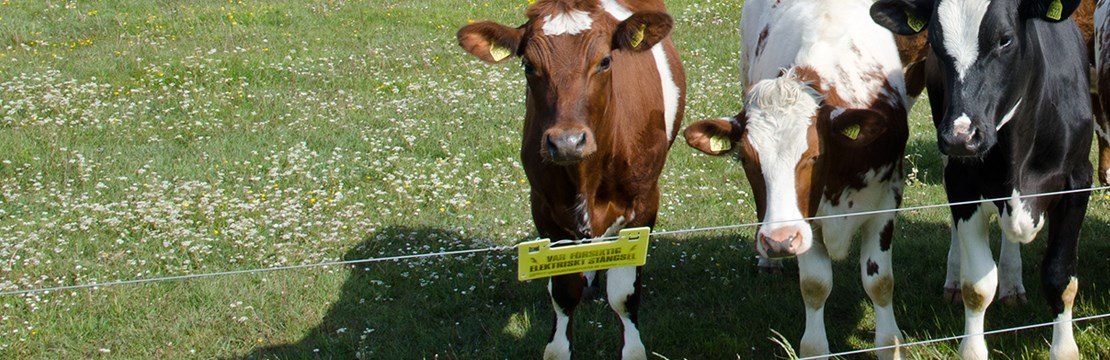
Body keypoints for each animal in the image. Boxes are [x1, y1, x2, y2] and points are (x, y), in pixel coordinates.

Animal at [452, 1, 679, 357]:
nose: (567, 142)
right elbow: (563, 292)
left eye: (605, 61)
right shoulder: (544, 209)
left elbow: (623, 295)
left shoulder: (644, 204)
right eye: (528, 65)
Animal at [683, 0, 910, 357]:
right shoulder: (806, 223)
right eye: (745, 158)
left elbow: (880, 283)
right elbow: (815, 286)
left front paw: (890, 343)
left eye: (814, 156)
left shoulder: (886, 202)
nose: (779, 241)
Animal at [870, 1, 1096, 357]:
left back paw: (1013, 284)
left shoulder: (1078, 180)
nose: (961, 137)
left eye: (1005, 40)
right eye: (936, 43)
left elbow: (1060, 277)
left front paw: (1064, 349)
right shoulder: (962, 182)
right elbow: (977, 285)